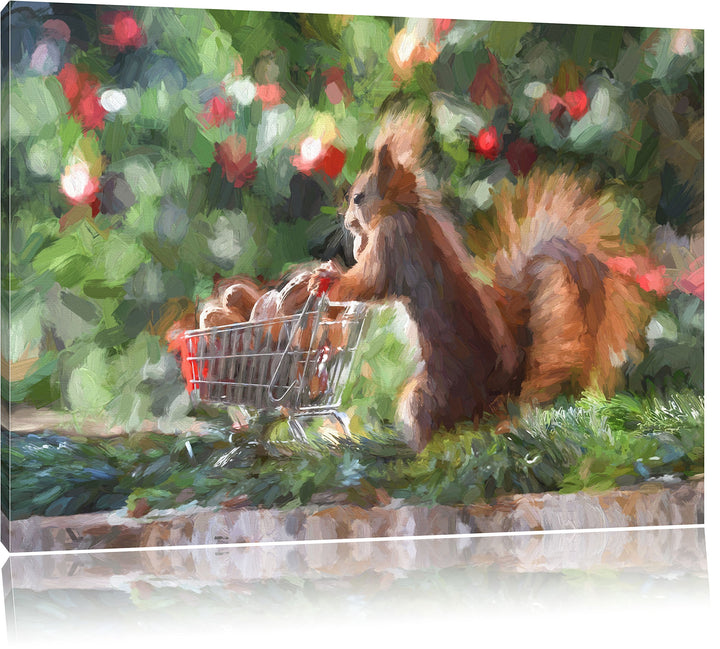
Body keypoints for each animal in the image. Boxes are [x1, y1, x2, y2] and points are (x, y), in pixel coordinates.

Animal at [308, 111, 651, 452]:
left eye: (358, 197)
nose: (347, 222)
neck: (406, 209)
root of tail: (491, 404)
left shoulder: (394, 244)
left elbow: (369, 281)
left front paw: (328, 278)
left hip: (426, 395)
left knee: (435, 434)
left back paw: (415, 450)